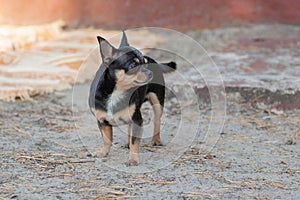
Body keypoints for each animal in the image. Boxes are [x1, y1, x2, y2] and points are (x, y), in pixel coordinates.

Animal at [88, 31, 176, 166]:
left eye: (145, 63)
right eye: (133, 66)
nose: (149, 72)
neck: (117, 92)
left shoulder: (137, 120)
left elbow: (135, 141)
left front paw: (133, 159)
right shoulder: (102, 121)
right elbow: (107, 139)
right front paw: (103, 152)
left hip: (157, 102)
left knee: (157, 121)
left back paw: (156, 140)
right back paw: (127, 143)